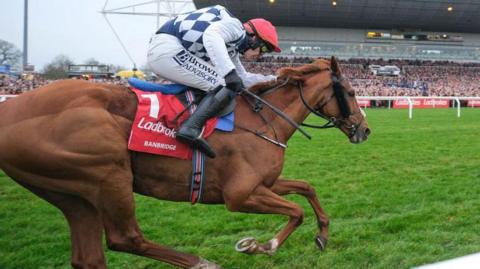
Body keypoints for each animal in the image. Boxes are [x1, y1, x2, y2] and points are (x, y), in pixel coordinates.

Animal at [0, 57, 370, 268]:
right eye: (352, 93)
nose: (365, 130)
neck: (263, 120)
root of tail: (11, 107)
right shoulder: (240, 195)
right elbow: (296, 211)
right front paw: (259, 245)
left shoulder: (263, 184)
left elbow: (306, 189)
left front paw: (322, 234)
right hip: (107, 175)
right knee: (125, 238)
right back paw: (202, 263)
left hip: (73, 195)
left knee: (88, 257)